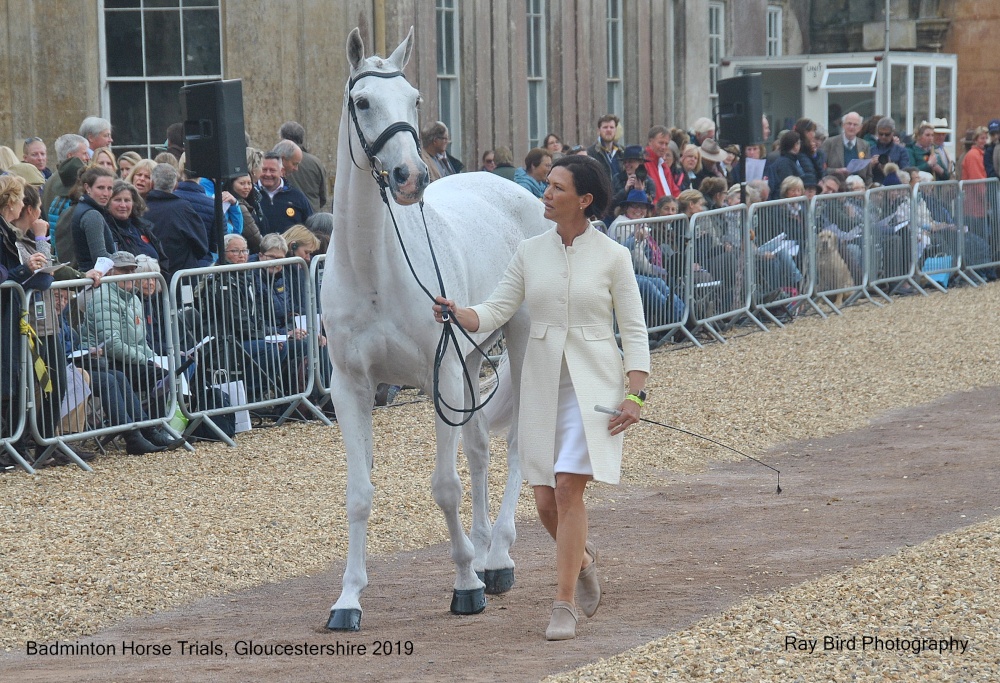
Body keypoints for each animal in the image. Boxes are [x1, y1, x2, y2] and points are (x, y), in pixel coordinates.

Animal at [320, 27, 550, 631]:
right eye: (362, 102)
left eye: (416, 99)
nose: (412, 177)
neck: (374, 270)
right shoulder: (350, 386)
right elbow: (359, 494)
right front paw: (348, 599)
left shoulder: (439, 374)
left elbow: (445, 488)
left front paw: (466, 584)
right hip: (470, 361)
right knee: (480, 450)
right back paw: (486, 546)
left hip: (519, 346)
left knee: (514, 446)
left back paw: (497, 558)